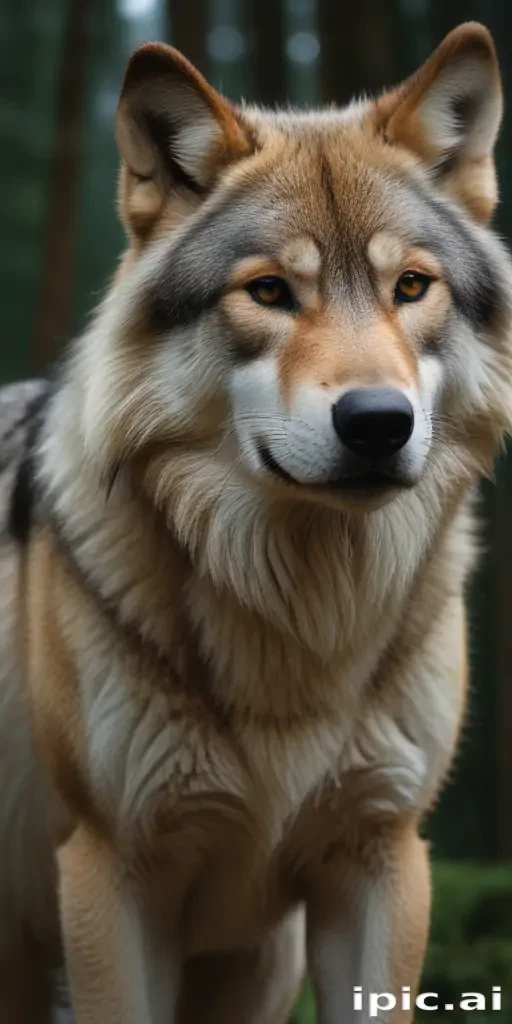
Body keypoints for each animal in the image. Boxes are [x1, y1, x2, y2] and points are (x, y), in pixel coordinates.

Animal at [1, 21, 511, 1024]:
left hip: (255, 973)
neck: (300, 636)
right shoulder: (110, 876)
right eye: (270, 292)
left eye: (411, 287)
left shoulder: (380, 857)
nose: (378, 421)